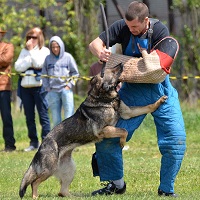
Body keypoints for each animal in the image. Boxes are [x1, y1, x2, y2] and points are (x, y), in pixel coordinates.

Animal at [18, 63, 166, 198]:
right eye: (109, 71)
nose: (122, 63)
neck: (105, 99)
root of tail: (42, 144)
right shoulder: (104, 130)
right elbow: (123, 130)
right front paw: (122, 143)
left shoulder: (128, 113)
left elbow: (147, 107)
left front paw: (159, 101)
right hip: (49, 169)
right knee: (34, 182)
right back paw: (35, 196)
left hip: (69, 169)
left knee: (62, 192)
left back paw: (75, 197)